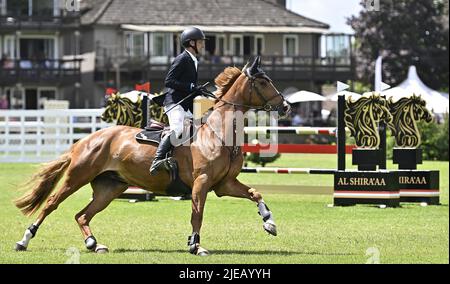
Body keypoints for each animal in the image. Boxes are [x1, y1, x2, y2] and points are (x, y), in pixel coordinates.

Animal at [14, 56, 290, 256]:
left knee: (82, 215)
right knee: (51, 204)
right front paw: (195, 245)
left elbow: (255, 194)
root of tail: (85, 140)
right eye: (263, 82)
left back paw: (94, 243)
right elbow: (197, 213)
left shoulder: (224, 184)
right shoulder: (201, 183)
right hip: (77, 177)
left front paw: (269, 222)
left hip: (109, 187)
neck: (219, 133)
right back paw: (24, 241)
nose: (286, 106)